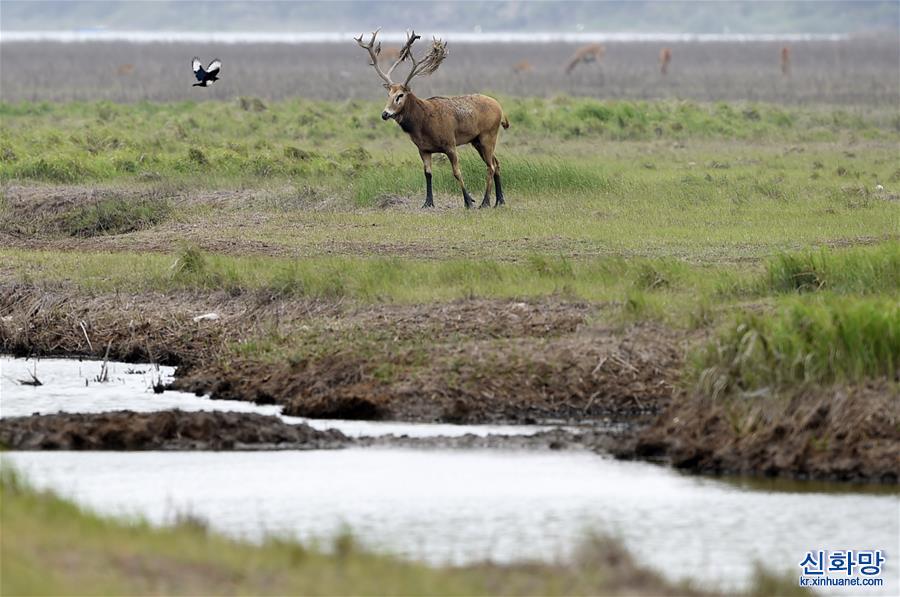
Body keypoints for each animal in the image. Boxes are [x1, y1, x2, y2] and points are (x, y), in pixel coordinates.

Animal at [356, 29, 510, 210]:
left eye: (400, 95)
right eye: (388, 95)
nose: (385, 114)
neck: (422, 125)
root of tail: (500, 108)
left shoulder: (450, 144)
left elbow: (457, 172)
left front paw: (468, 201)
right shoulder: (423, 149)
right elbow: (428, 174)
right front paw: (428, 202)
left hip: (488, 135)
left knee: (490, 166)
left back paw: (485, 202)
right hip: (477, 141)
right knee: (496, 163)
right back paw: (500, 200)